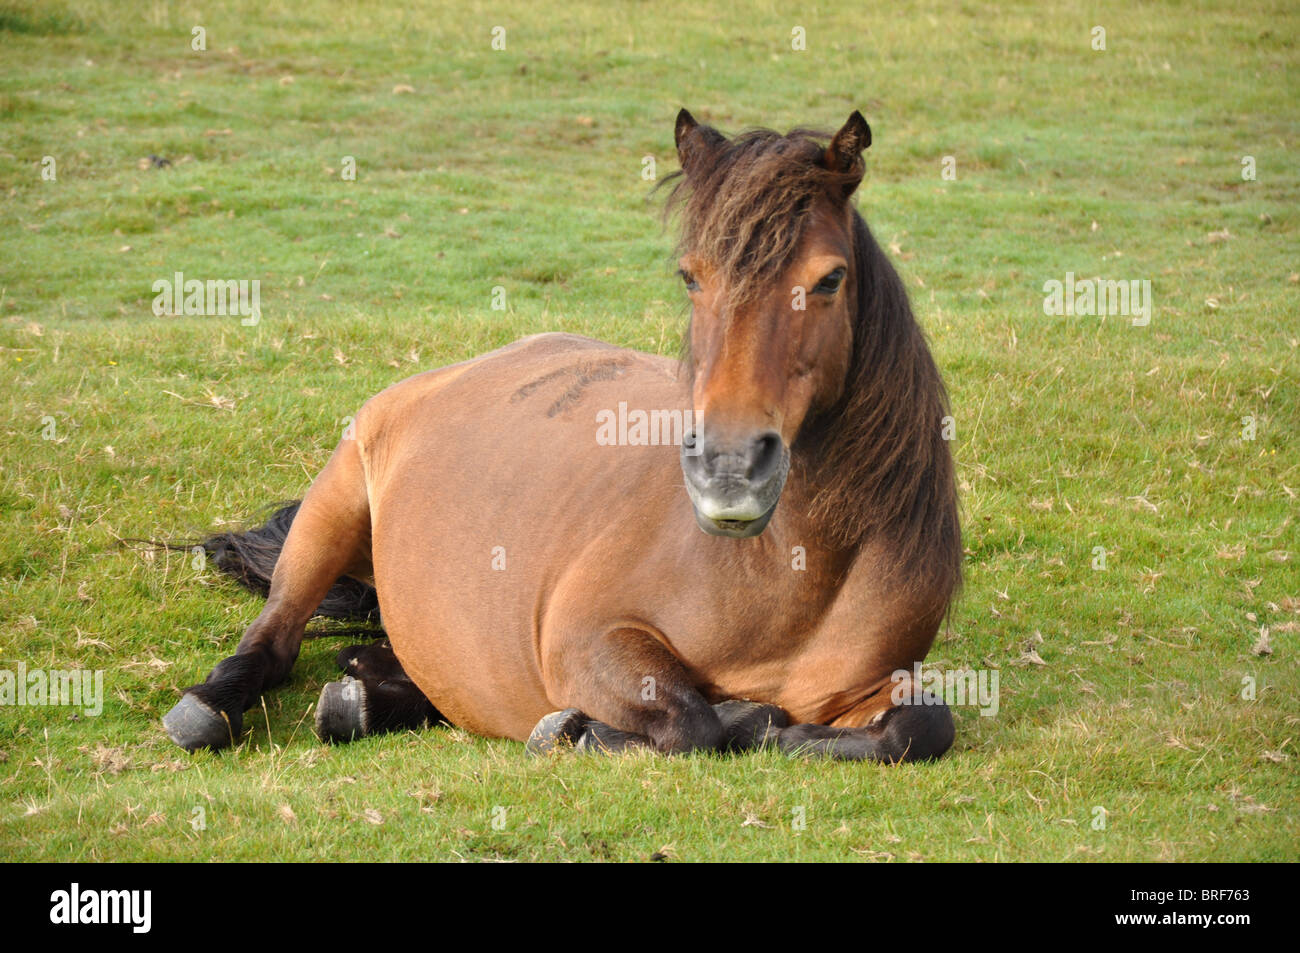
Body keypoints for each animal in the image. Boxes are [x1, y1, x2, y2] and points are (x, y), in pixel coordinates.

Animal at [162, 109, 963, 762]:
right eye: (690, 276)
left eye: (829, 279)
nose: (730, 468)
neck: (783, 576)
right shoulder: (586, 638)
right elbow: (694, 721)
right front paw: (588, 728)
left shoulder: (873, 685)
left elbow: (921, 726)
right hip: (328, 515)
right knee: (274, 637)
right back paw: (211, 706)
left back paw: (363, 697)